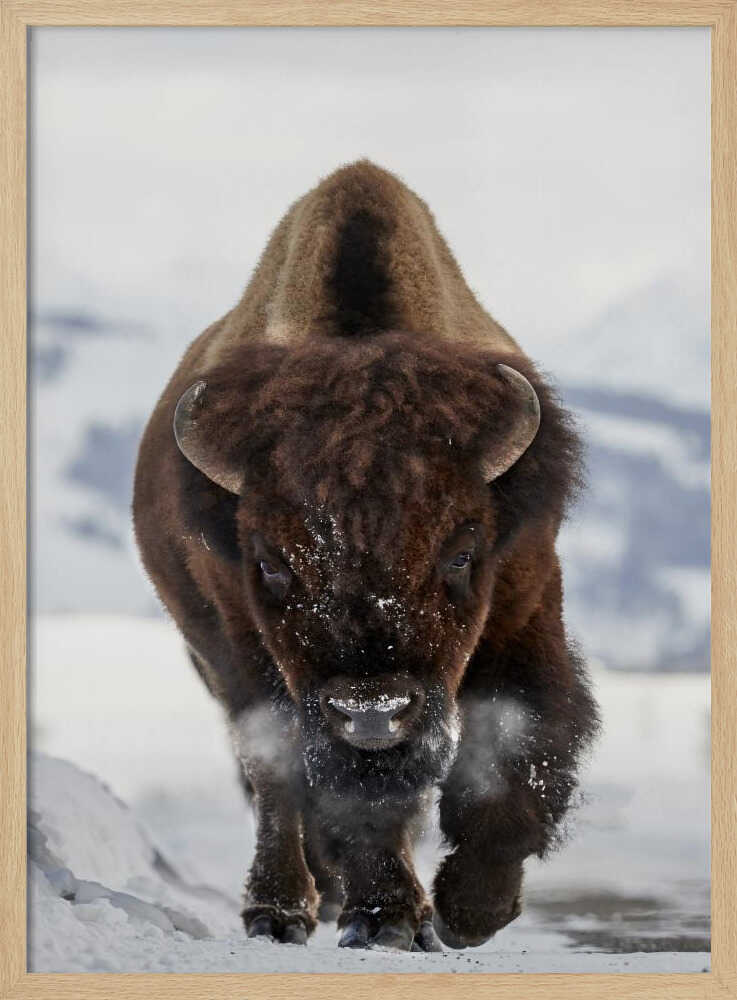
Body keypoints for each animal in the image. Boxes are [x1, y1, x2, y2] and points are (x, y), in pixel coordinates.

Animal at [133, 160, 599, 952]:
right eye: (270, 563)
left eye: (462, 552)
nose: (373, 713)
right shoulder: (249, 648)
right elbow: (327, 787)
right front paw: (386, 918)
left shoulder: (525, 606)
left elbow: (519, 741)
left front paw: (469, 911)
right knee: (275, 781)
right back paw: (282, 910)